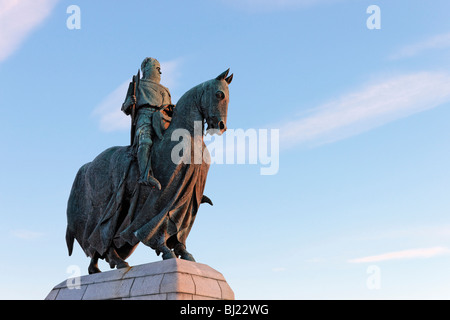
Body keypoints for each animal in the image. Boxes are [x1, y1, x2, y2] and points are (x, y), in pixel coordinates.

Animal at [65, 69, 234, 274]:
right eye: (219, 94)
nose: (221, 125)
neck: (188, 136)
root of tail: (88, 165)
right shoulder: (165, 192)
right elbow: (159, 221)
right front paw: (164, 249)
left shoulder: (189, 195)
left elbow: (179, 223)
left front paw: (183, 251)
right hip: (103, 206)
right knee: (98, 232)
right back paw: (115, 261)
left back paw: (98, 267)